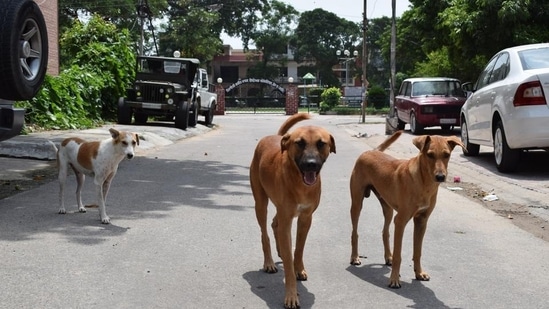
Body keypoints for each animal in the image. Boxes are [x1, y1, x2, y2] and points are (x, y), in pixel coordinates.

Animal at [249, 113, 334, 308]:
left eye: (321, 143)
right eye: (299, 143)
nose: (311, 164)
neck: (299, 183)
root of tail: (276, 136)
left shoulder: (305, 218)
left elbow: (299, 249)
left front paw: (299, 268)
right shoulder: (287, 219)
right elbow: (288, 261)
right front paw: (291, 295)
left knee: (275, 223)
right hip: (260, 203)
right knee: (265, 232)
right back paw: (269, 262)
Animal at [352, 130, 462, 286]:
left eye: (447, 155)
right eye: (430, 154)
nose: (440, 177)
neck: (424, 183)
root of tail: (371, 151)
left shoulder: (421, 221)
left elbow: (418, 251)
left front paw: (419, 273)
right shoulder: (401, 221)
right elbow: (399, 254)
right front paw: (394, 279)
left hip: (388, 209)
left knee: (385, 232)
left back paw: (388, 257)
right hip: (357, 204)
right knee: (354, 232)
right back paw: (355, 257)